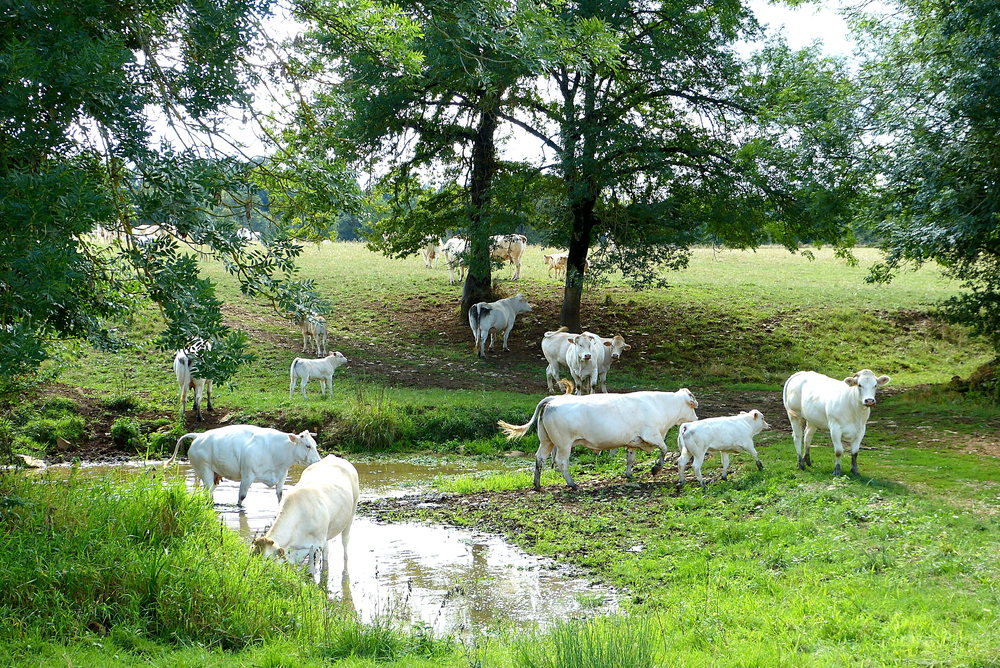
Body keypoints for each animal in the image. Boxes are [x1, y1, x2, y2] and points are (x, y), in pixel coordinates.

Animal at [168, 426, 322, 504]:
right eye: (308, 446)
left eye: (315, 445)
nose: (318, 462)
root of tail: (198, 436)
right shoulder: (248, 475)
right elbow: (241, 497)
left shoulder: (282, 475)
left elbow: (280, 495)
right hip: (205, 469)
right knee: (209, 493)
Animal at [496, 386, 700, 490]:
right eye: (692, 406)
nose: (697, 418)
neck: (660, 405)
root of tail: (553, 399)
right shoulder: (651, 435)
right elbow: (664, 449)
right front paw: (656, 469)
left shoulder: (633, 440)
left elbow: (630, 458)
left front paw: (629, 474)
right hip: (564, 444)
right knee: (562, 462)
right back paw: (572, 484)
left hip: (546, 441)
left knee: (539, 459)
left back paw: (537, 484)